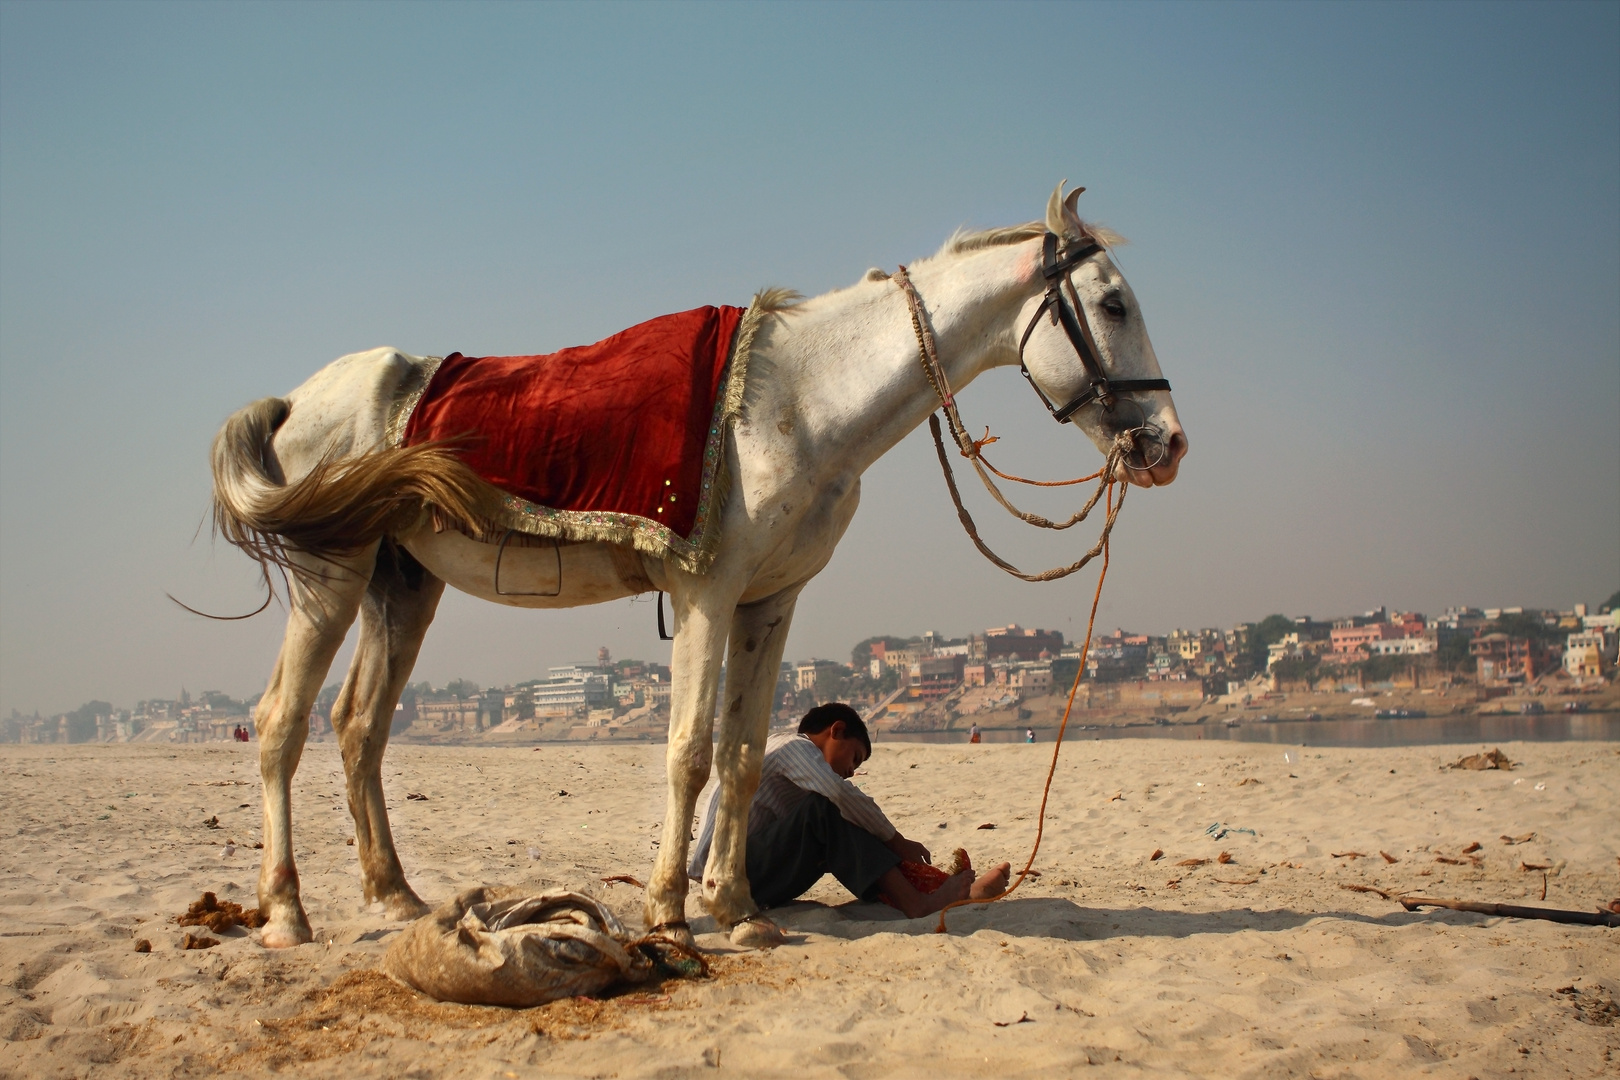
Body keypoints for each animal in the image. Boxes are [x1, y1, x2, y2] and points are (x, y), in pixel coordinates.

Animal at [205, 190, 1192, 952]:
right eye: (1112, 304)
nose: (1168, 443)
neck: (803, 397)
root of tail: (298, 398)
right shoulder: (704, 594)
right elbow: (686, 751)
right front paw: (672, 915)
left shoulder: (771, 601)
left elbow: (744, 755)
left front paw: (739, 909)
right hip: (330, 577)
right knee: (281, 721)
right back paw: (284, 913)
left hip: (400, 584)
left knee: (360, 727)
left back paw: (396, 895)